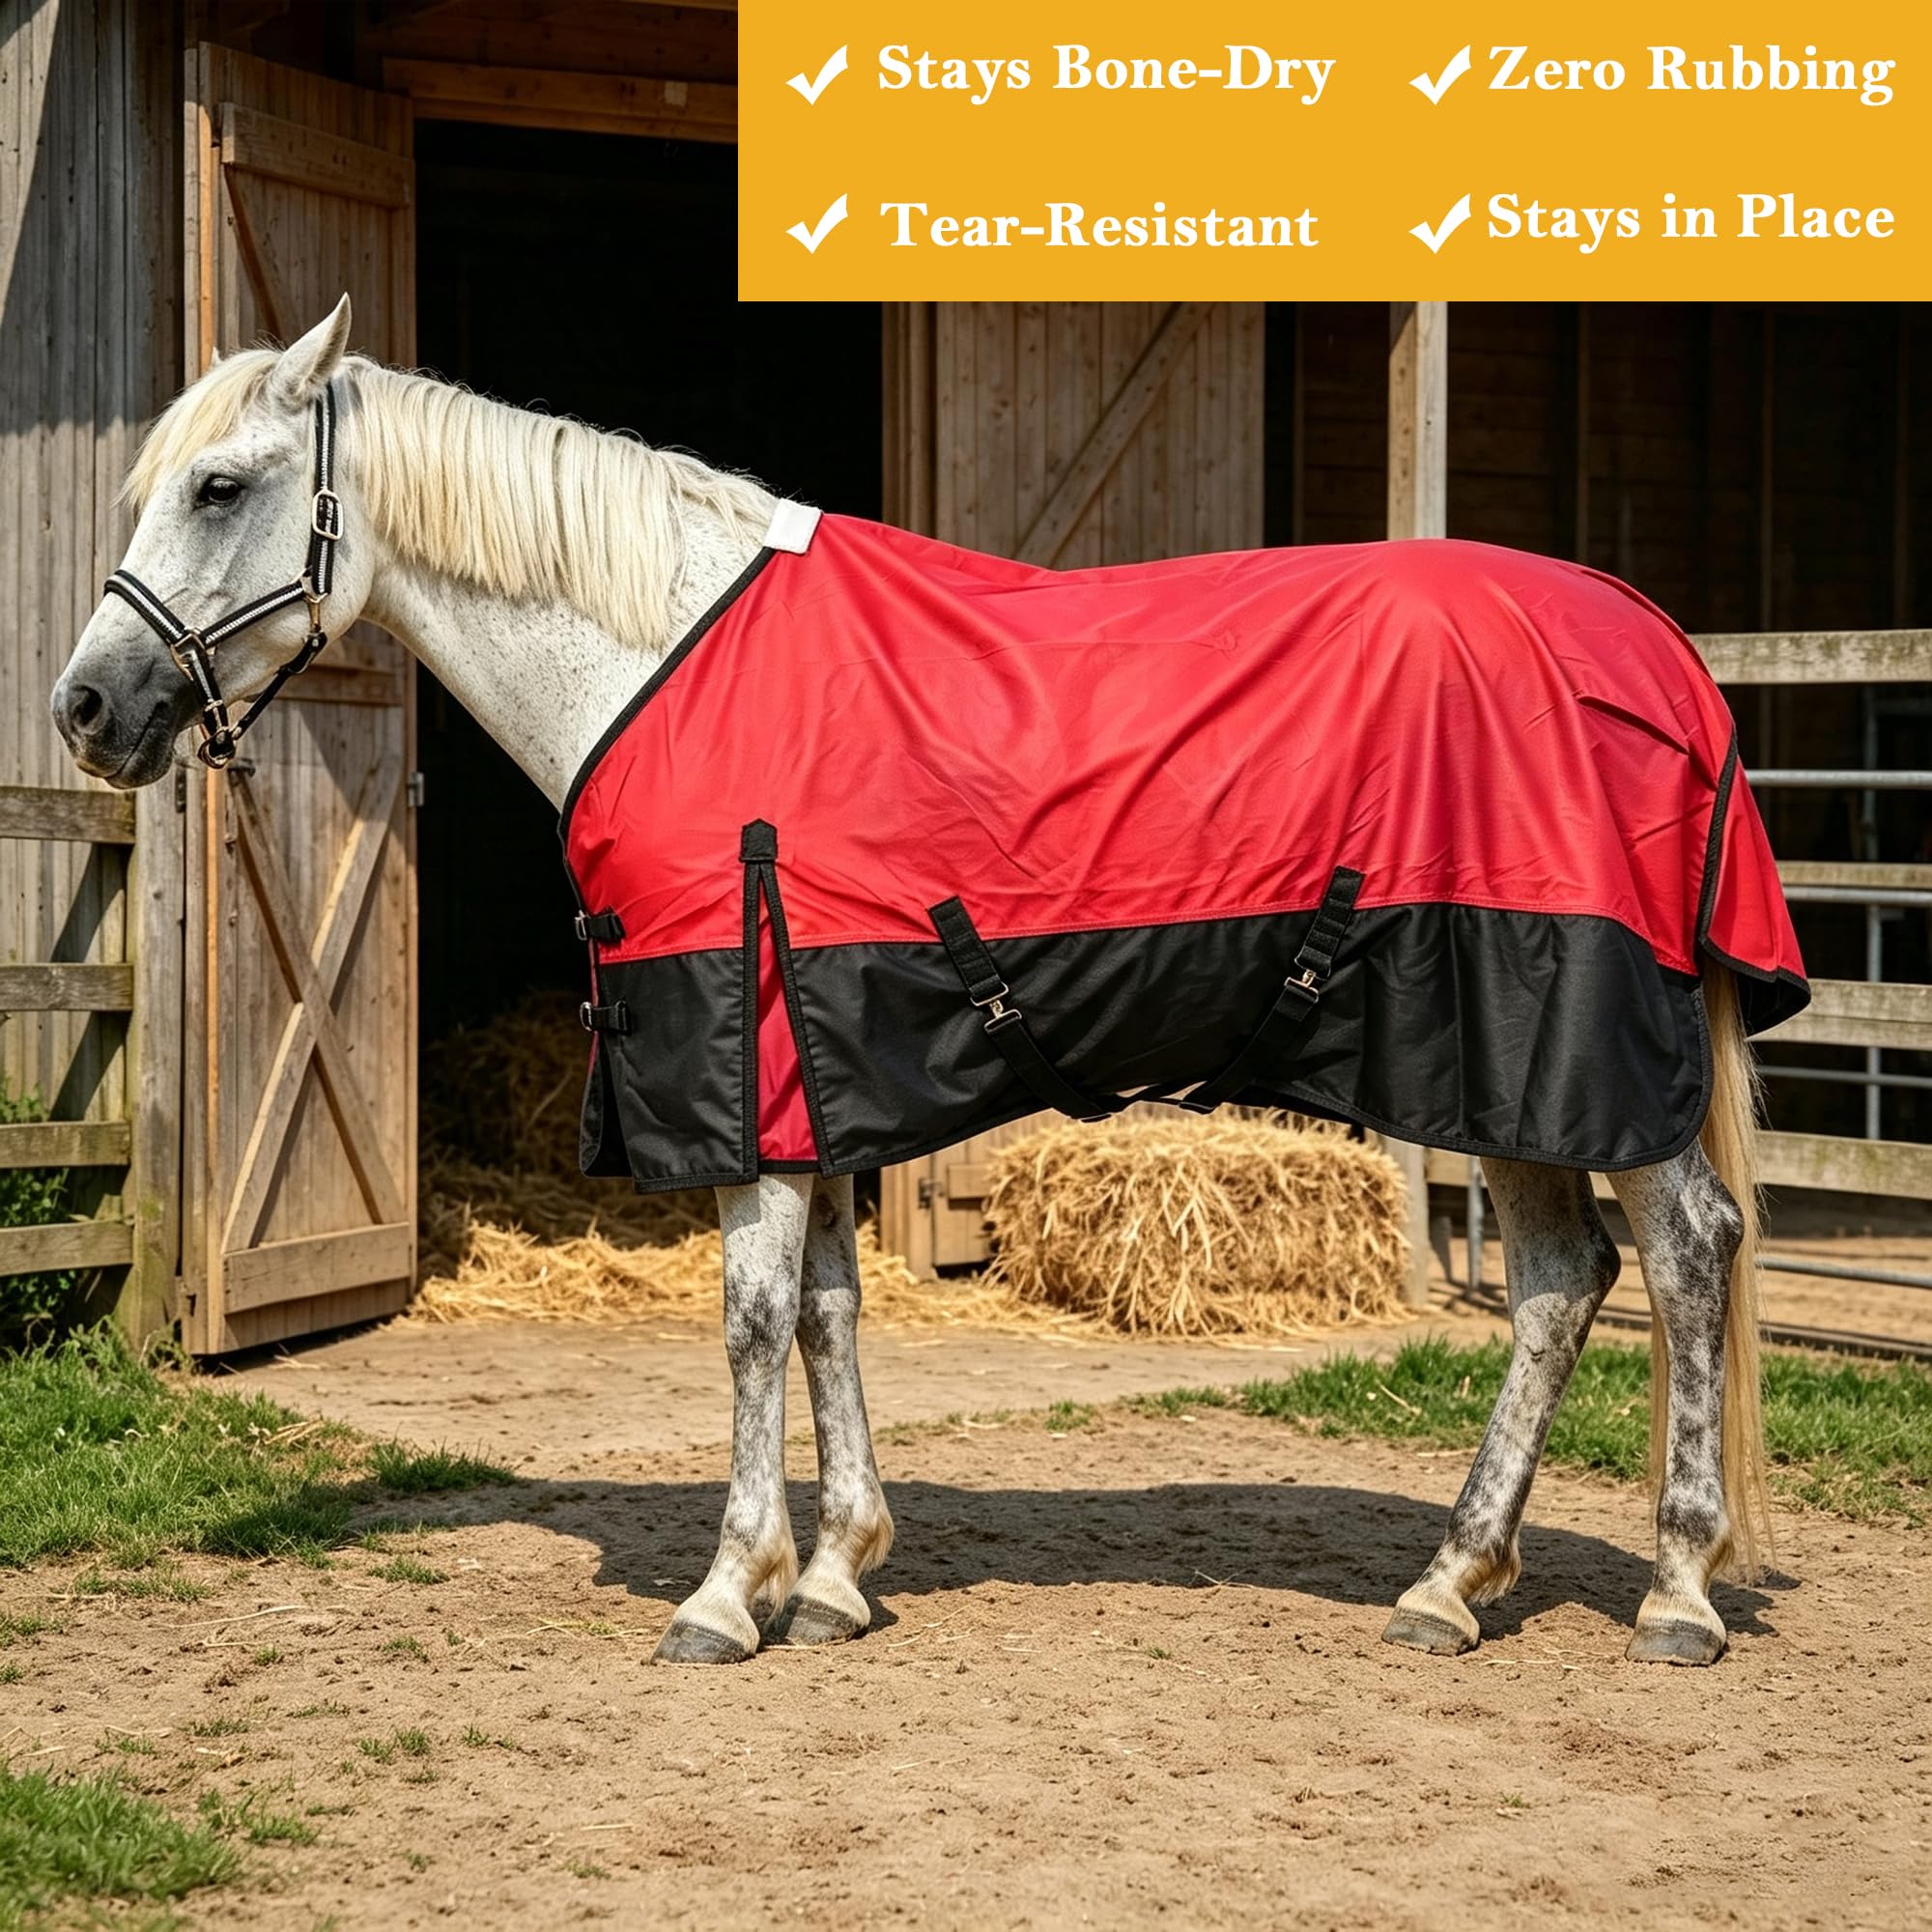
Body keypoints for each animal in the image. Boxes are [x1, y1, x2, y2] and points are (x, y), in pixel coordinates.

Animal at [53, 298, 1783, 1668]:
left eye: (220, 485)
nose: (85, 709)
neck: (658, 653)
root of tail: (1663, 655)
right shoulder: (820, 1063)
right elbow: (829, 1309)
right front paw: (832, 1574)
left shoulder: (749, 1060)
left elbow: (753, 1320)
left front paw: (727, 1591)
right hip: (1513, 1074)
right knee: (1562, 1283)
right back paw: (1453, 1581)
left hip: (1569, 1048)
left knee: (1689, 1254)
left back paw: (1677, 1592)